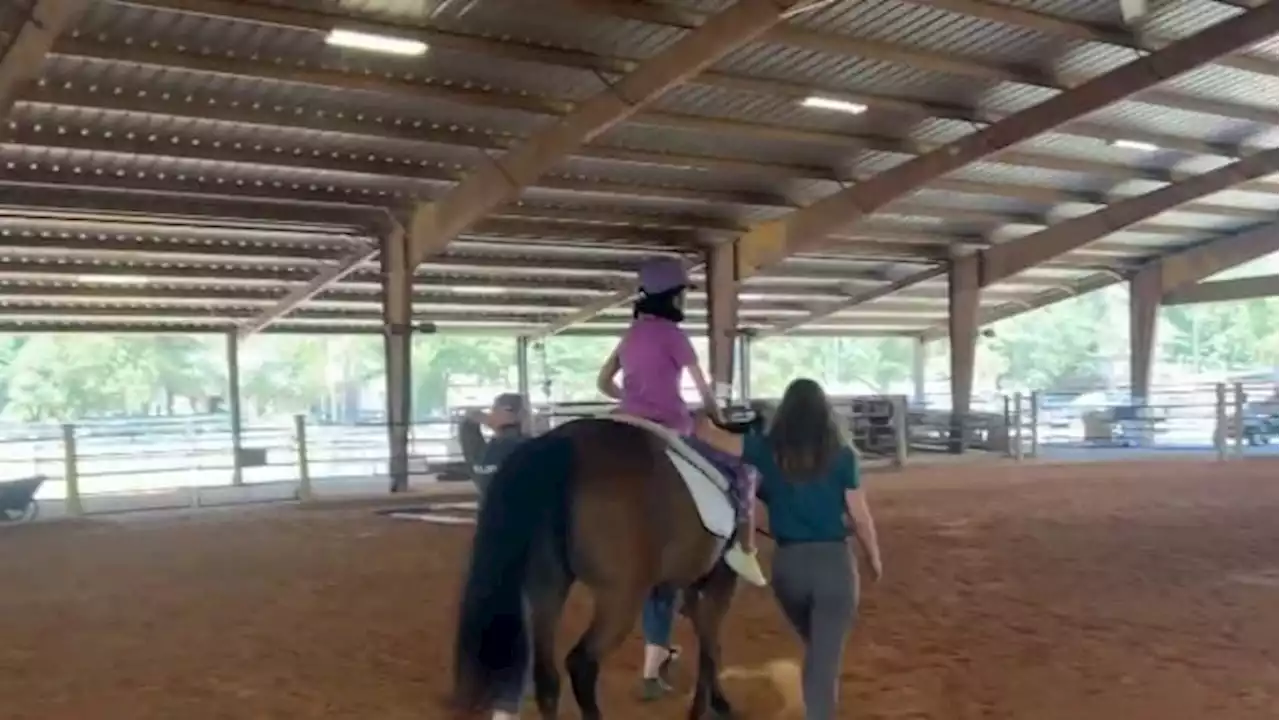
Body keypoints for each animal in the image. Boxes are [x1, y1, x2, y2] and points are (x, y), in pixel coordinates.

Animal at [450, 409, 757, 717]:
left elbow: (707, 640)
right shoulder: (720, 581)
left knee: (547, 678)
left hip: (547, 587)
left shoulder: (691, 584)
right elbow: (710, 645)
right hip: (620, 597)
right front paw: (706, 706)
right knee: (581, 663)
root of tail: (563, 444)